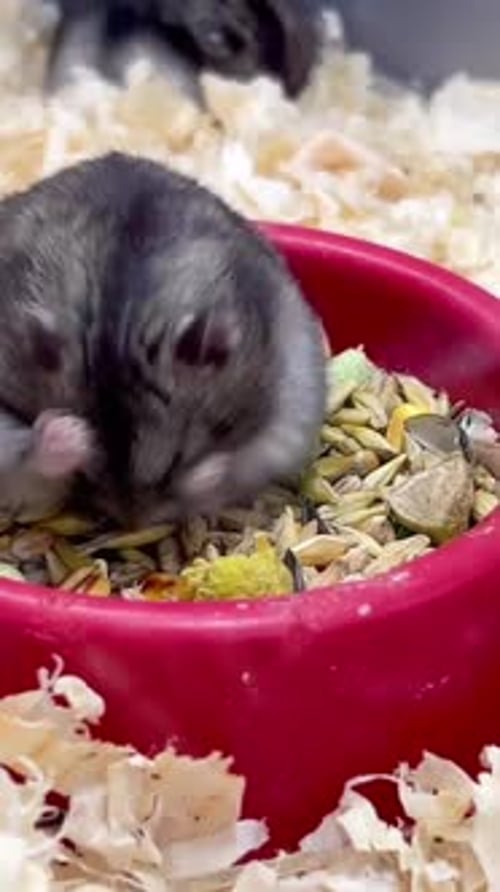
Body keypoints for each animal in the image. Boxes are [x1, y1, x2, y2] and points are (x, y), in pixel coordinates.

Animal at [0, 152, 326, 527]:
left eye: (174, 463)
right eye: (86, 476)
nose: (132, 522)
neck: (119, 317)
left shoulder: (287, 407)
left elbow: (238, 462)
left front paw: (206, 473)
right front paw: (71, 433)